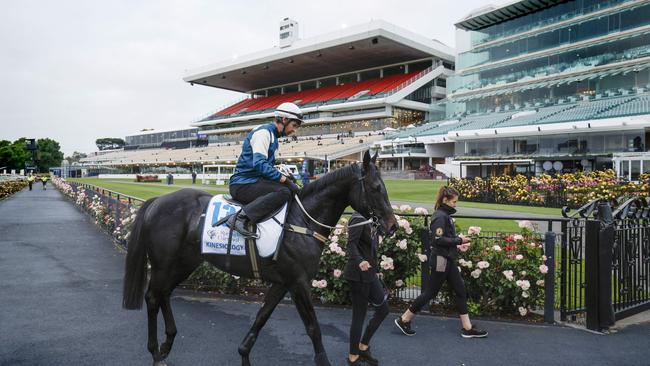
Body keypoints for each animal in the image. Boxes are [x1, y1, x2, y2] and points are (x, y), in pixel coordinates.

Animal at [121, 150, 394, 364]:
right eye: (376, 188)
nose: (391, 225)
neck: (302, 221)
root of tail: (158, 201)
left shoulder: (282, 282)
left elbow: (262, 317)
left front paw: (244, 353)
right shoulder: (298, 282)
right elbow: (313, 328)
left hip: (184, 263)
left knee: (164, 294)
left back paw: (168, 342)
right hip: (164, 264)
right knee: (153, 297)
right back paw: (155, 353)